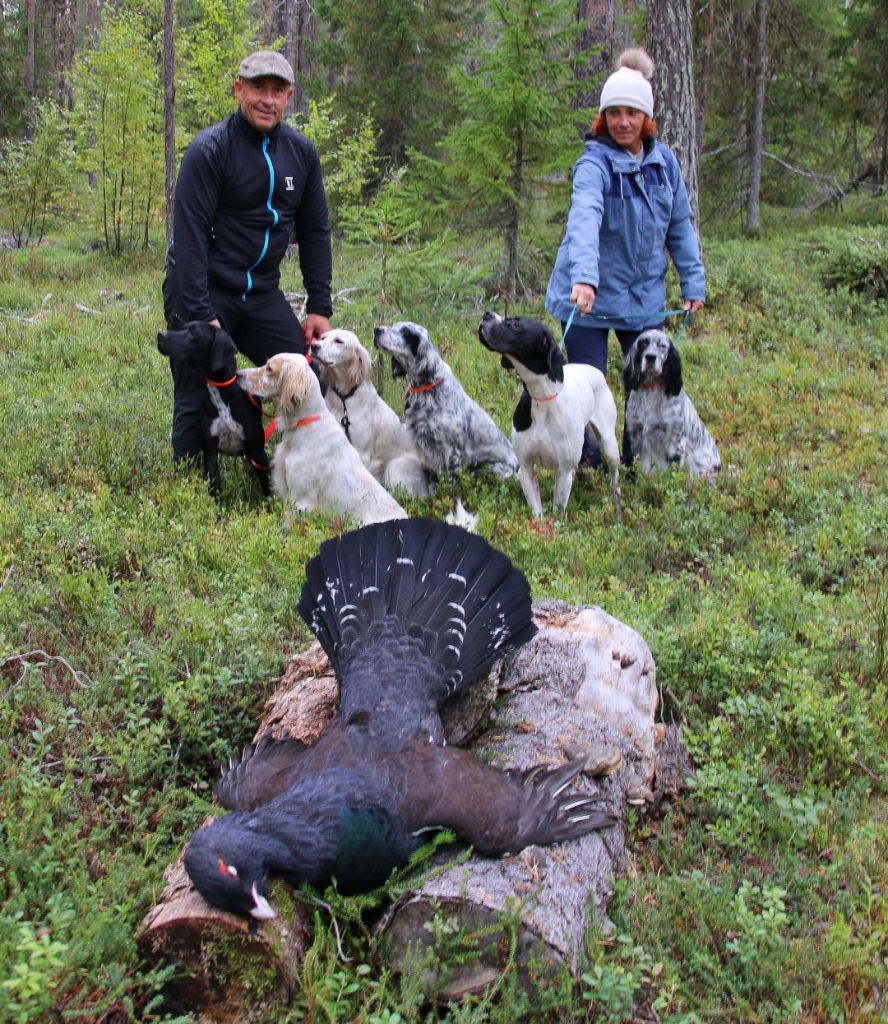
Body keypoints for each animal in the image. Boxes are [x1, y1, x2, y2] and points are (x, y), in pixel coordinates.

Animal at [156, 319, 272, 495]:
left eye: (193, 333)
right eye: (182, 328)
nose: (160, 335)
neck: (222, 397)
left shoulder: (257, 452)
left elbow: (269, 488)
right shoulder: (210, 452)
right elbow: (213, 487)